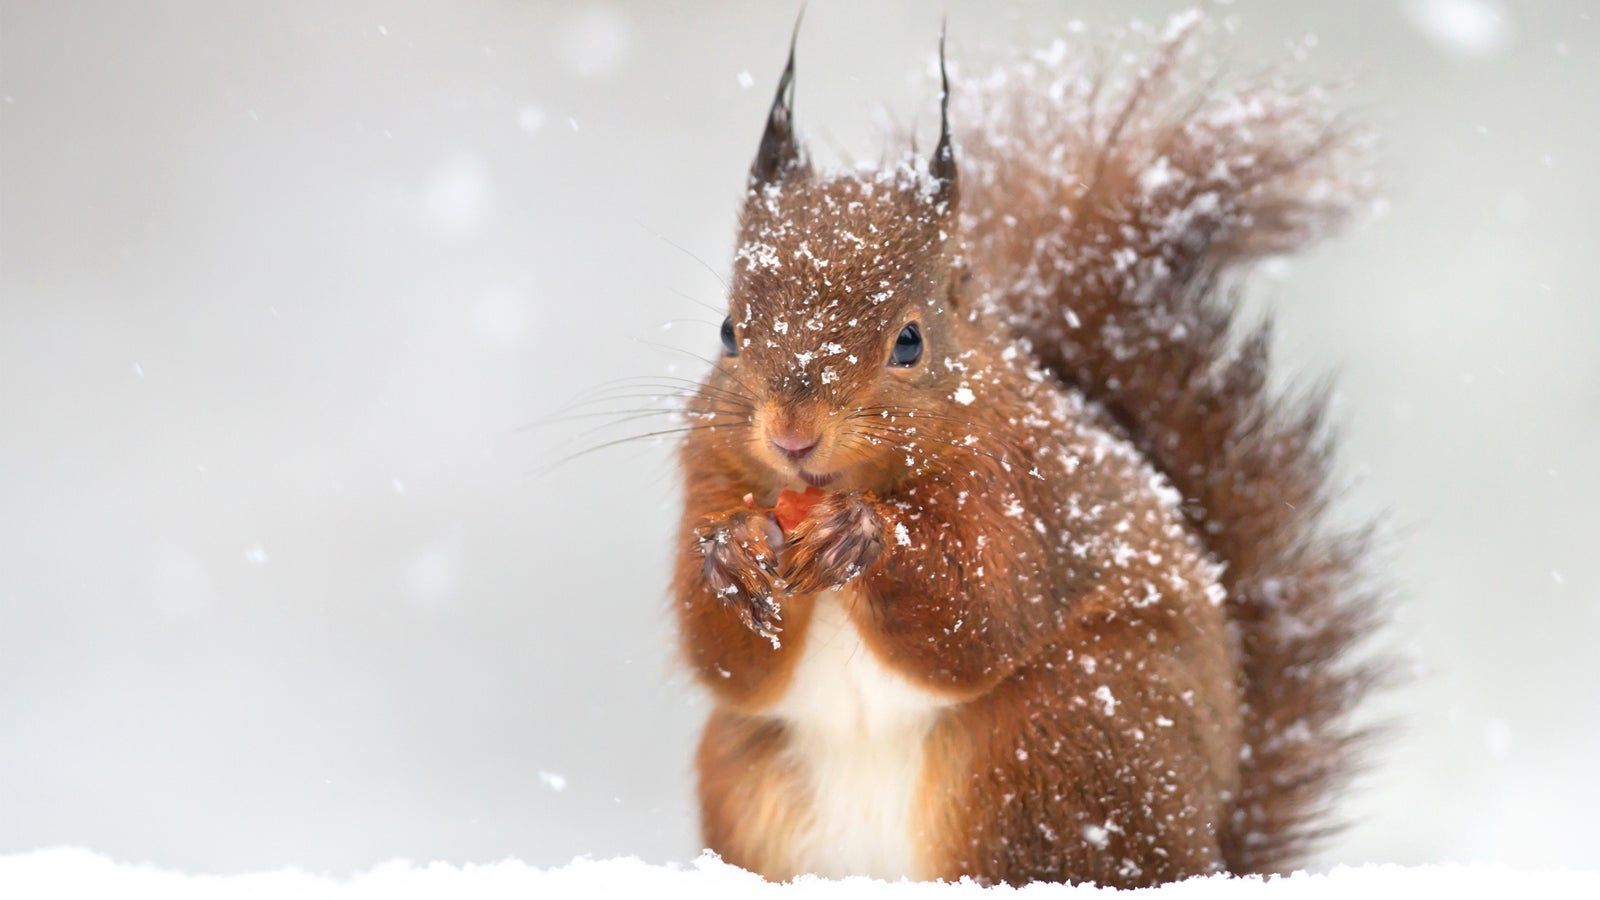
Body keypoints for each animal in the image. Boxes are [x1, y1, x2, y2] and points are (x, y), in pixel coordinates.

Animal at [671, 16, 1383, 888]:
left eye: (909, 340)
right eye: (728, 332)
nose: (792, 434)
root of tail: (1210, 849)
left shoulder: (1018, 486)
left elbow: (980, 611)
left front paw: (863, 535)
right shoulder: (708, 472)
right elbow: (725, 659)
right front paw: (732, 552)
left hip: (1051, 746)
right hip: (751, 779)